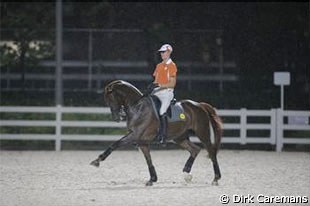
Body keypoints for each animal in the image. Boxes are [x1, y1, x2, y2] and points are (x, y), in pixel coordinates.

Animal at [89, 79, 223, 186]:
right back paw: (186, 171)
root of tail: (199, 105)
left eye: (110, 99)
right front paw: (152, 179)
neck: (137, 107)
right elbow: (148, 160)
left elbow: (115, 144)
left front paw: (97, 161)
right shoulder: (142, 142)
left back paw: (216, 178)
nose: (118, 117)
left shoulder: (135, 135)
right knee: (195, 149)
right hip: (180, 138)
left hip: (202, 133)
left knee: (211, 152)